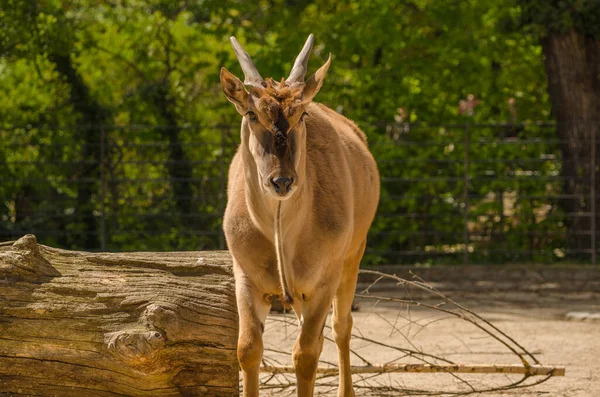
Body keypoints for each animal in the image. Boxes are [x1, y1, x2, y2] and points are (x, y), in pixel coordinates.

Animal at [220, 34, 380, 396]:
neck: (282, 233)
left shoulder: (323, 283)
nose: (282, 181)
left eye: (302, 115)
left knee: (341, 326)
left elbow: (306, 355)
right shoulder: (246, 279)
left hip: (353, 257)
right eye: (252, 114)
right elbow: (248, 349)